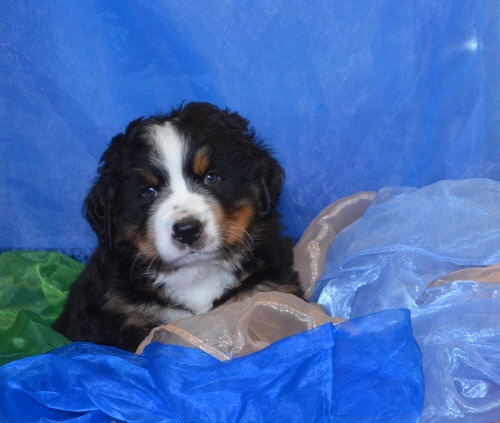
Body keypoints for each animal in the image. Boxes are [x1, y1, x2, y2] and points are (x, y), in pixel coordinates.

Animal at [52, 102, 303, 351]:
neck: (196, 274)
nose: (187, 231)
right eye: (149, 191)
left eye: (211, 177)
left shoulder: (266, 293)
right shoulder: (120, 310)